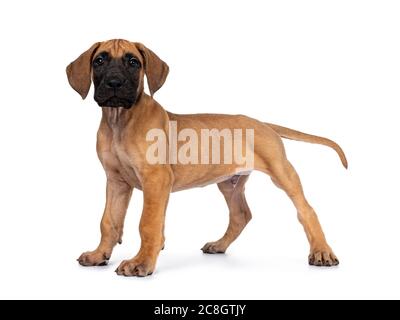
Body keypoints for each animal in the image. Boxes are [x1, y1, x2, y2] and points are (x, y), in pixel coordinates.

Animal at [66, 39, 346, 276]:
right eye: (99, 61)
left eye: (133, 62)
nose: (114, 83)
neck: (120, 120)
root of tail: (263, 123)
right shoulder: (116, 182)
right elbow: (109, 221)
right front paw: (99, 254)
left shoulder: (155, 179)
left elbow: (148, 223)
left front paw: (141, 262)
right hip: (230, 183)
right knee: (241, 214)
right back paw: (219, 244)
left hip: (281, 171)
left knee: (306, 210)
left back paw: (322, 252)